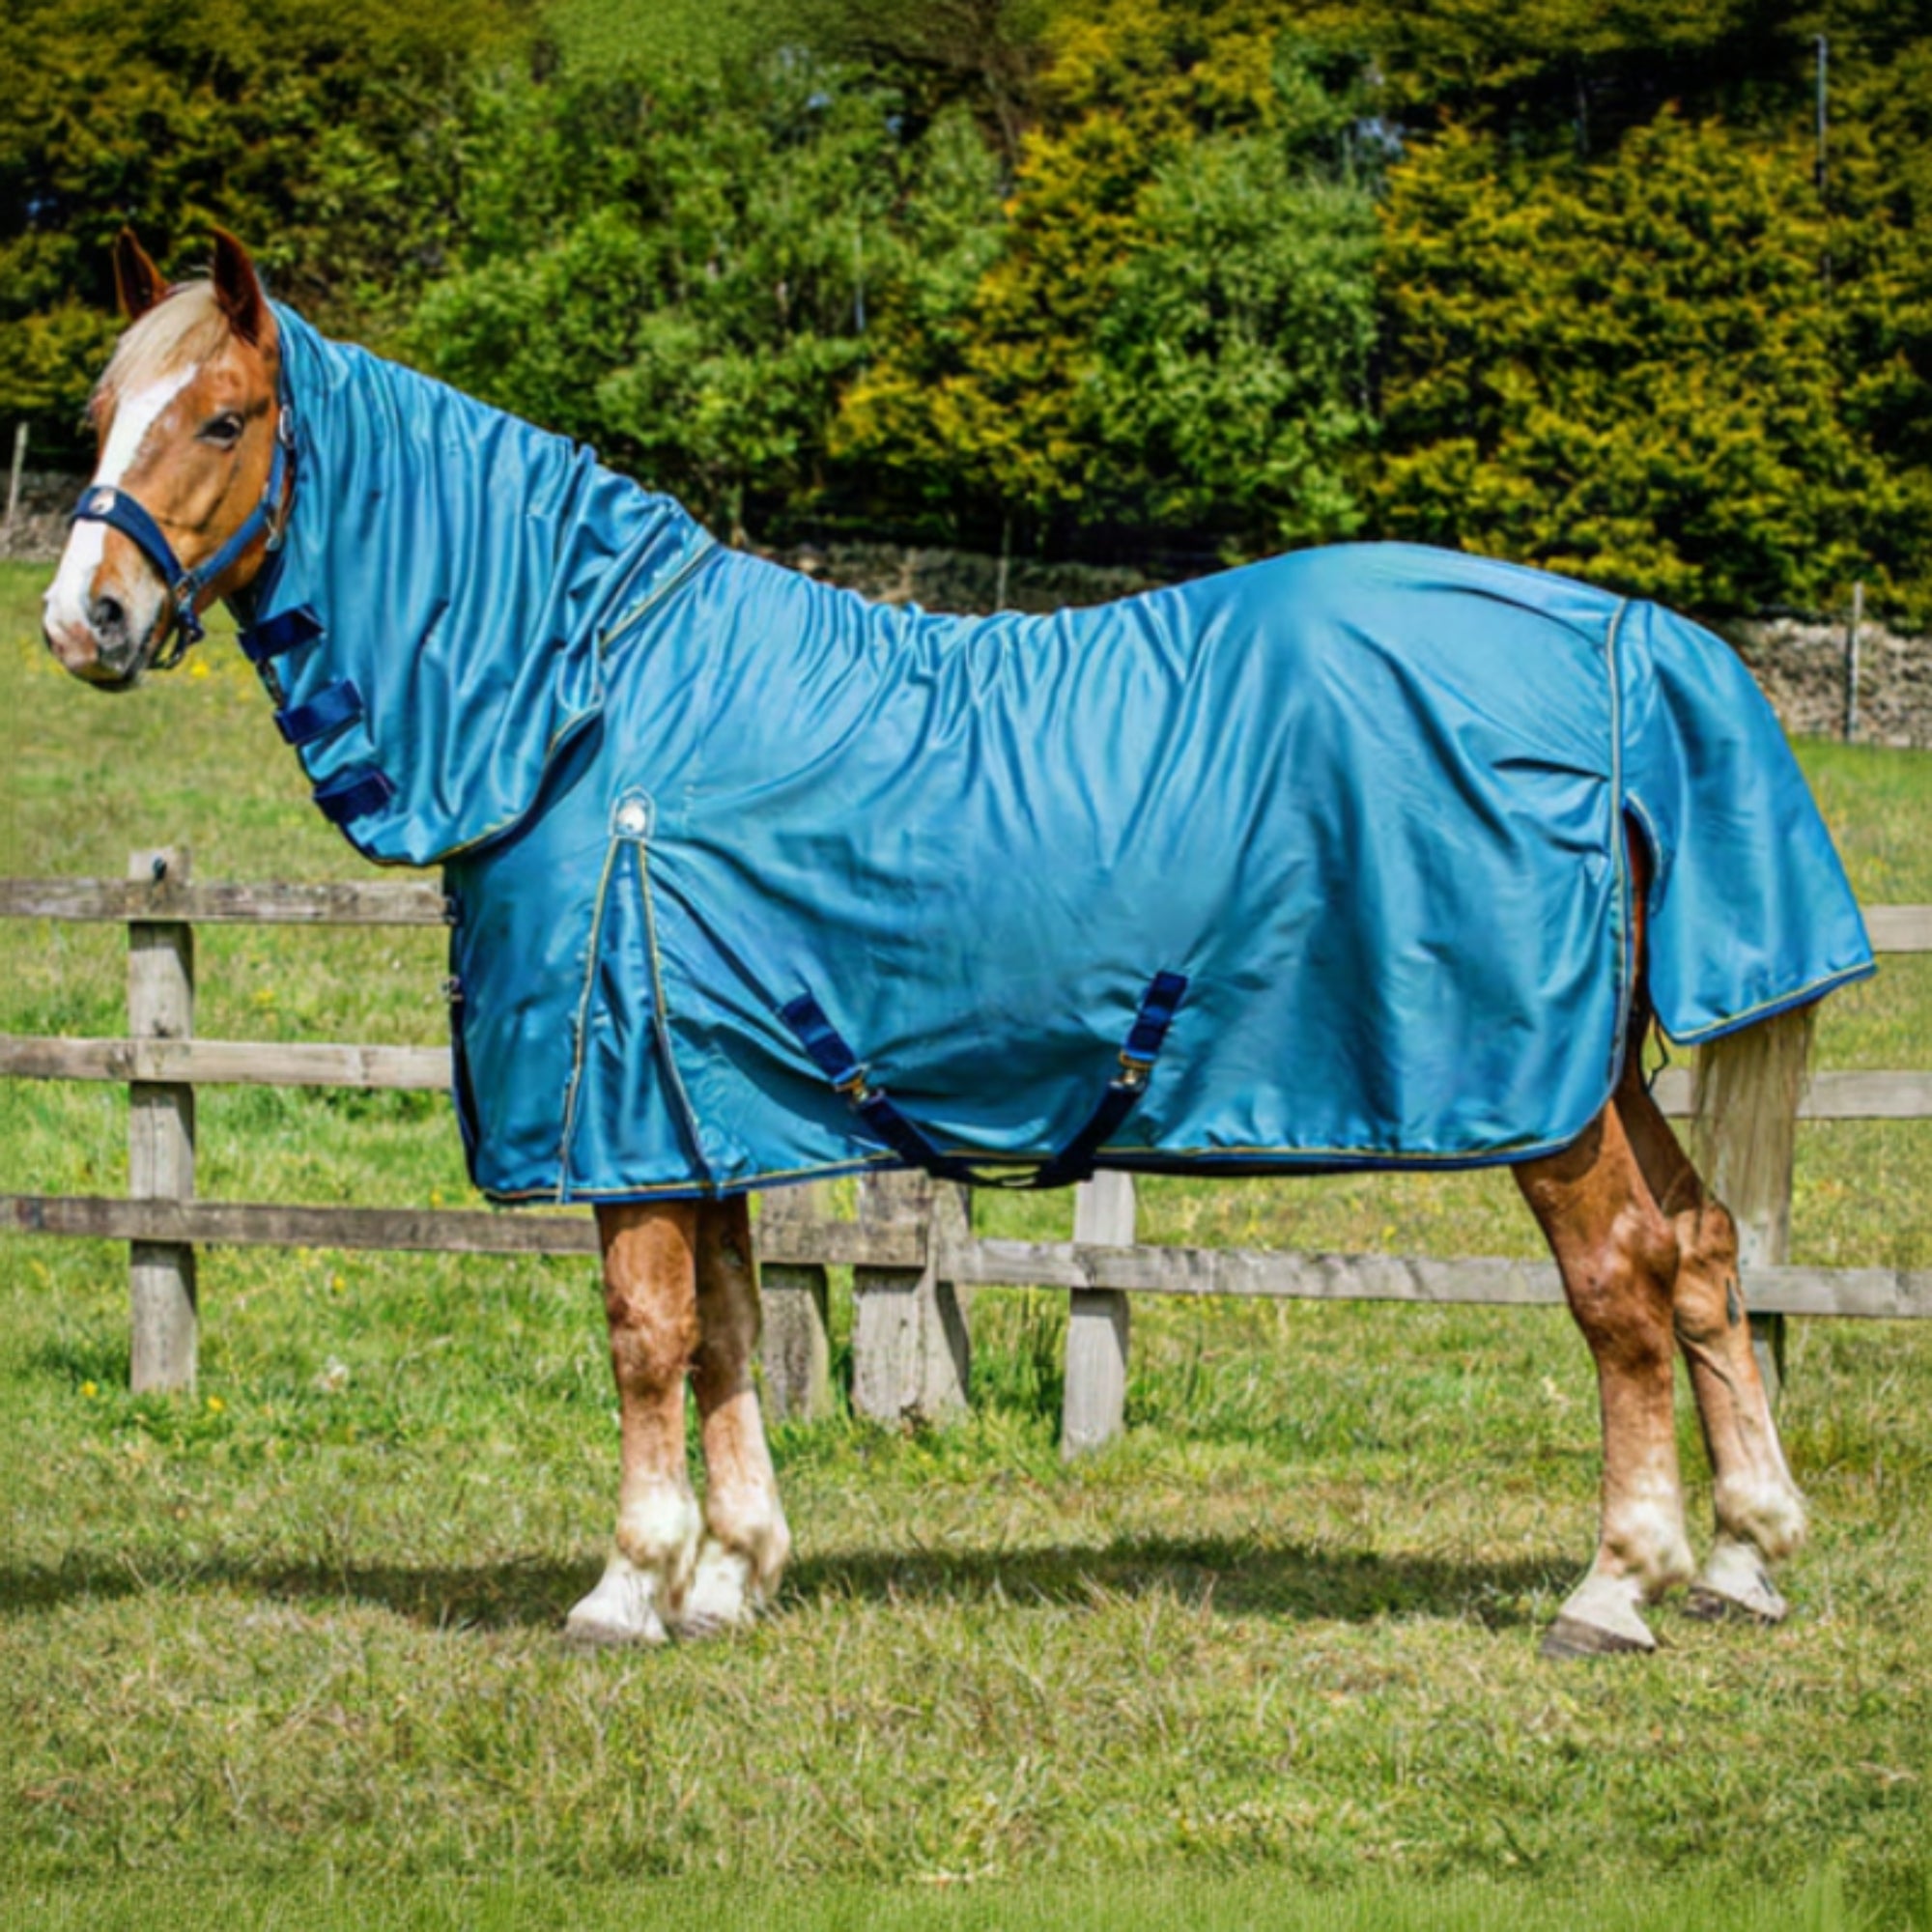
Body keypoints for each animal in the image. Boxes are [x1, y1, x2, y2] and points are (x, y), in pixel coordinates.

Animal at [42, 229, 1874, 1659]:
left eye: (223, 415)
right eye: (97, 416)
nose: (84, 622)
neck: (590, 703)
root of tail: (1620, 637)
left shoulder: (624, 1100)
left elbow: (644, 1334)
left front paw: (629, 1590)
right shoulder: (701, 1097)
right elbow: (728, 1325)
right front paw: (734, 1577)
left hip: (1539, 1090)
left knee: (1621, 1280)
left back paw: (1617, 1584)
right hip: (1604, 1064)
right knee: (1703, 1254)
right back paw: (1741, 1558)